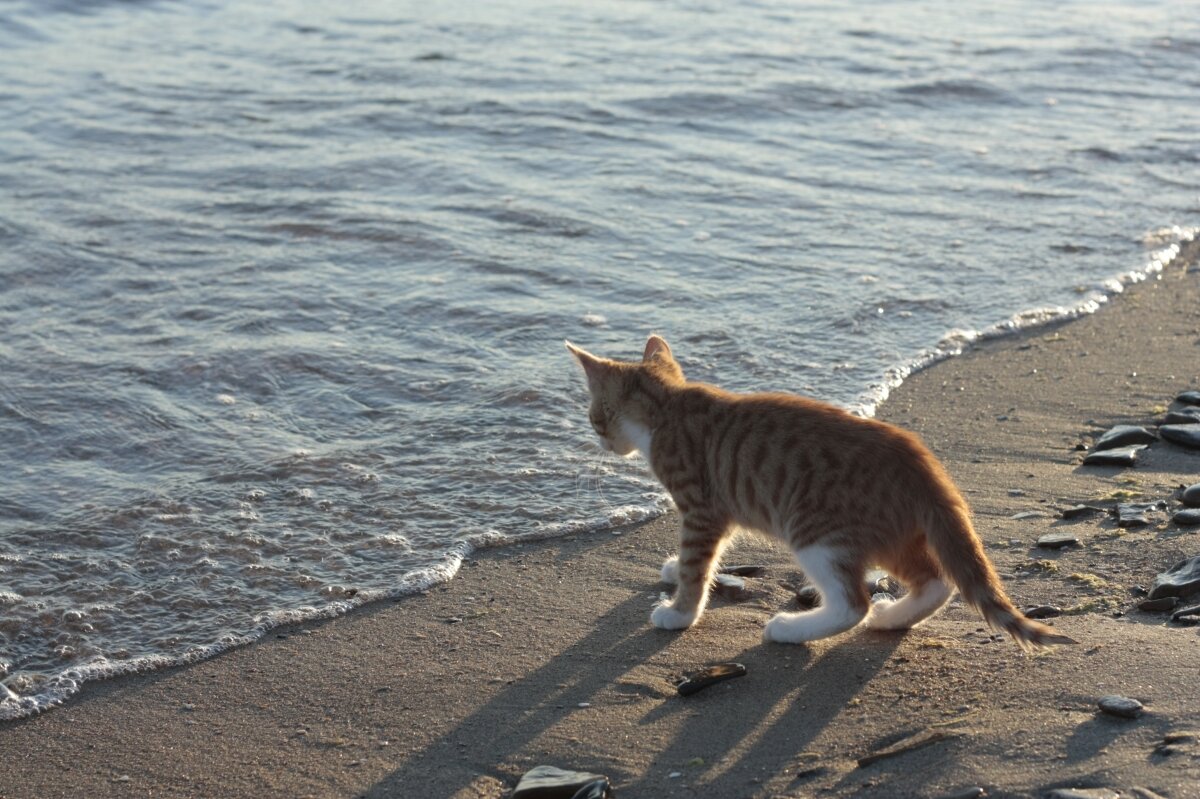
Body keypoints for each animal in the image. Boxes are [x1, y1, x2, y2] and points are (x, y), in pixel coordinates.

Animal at [566, 333, 1075, 652]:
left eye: (594, 418)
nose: (600, 442)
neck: (667, 406)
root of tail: (922, 464)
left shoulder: (702, 510)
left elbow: (697, 567)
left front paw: (679, 612)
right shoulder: (720, 514)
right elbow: (702, 561)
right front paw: (676, 571)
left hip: (816, 531)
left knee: (853, 603)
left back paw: (790, 629)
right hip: (893, 534)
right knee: (936, 580)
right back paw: (892, 617)